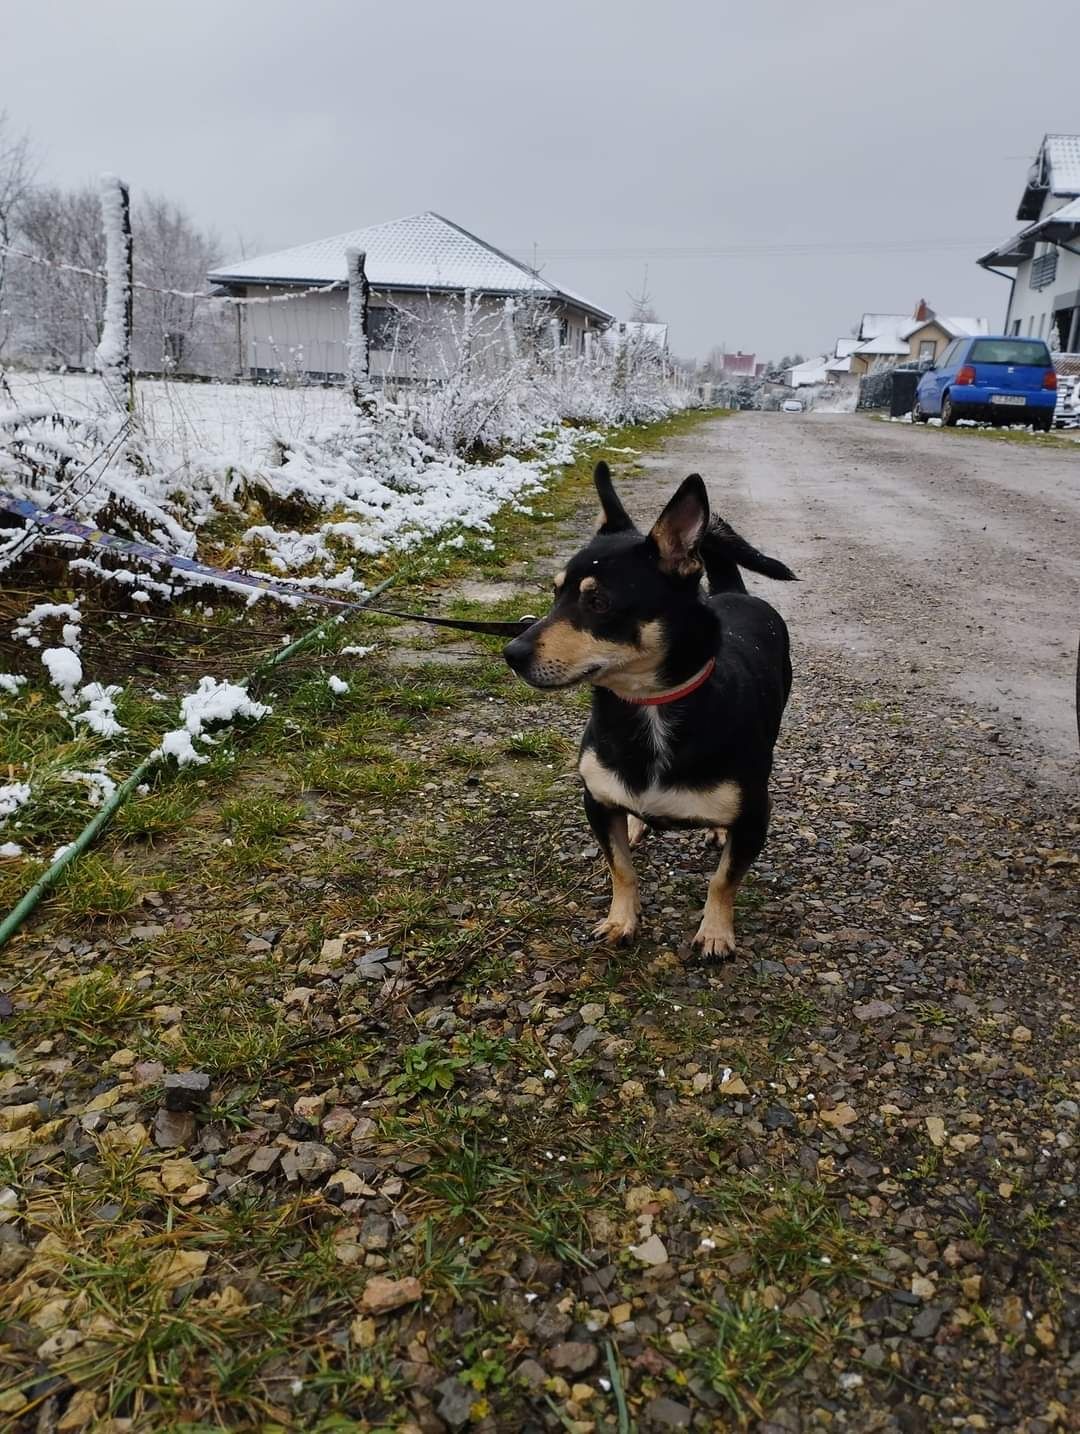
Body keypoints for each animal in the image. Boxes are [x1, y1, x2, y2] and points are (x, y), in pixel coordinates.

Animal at [504, 467, 791, 963]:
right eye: (555, 593)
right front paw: (622, 920)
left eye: (598, 603)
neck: (648, 706)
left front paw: (716, 932)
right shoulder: (596, 802)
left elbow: (723, 880)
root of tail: (733, 591)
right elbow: (621, 868)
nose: (511, 653)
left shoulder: (757, 818)